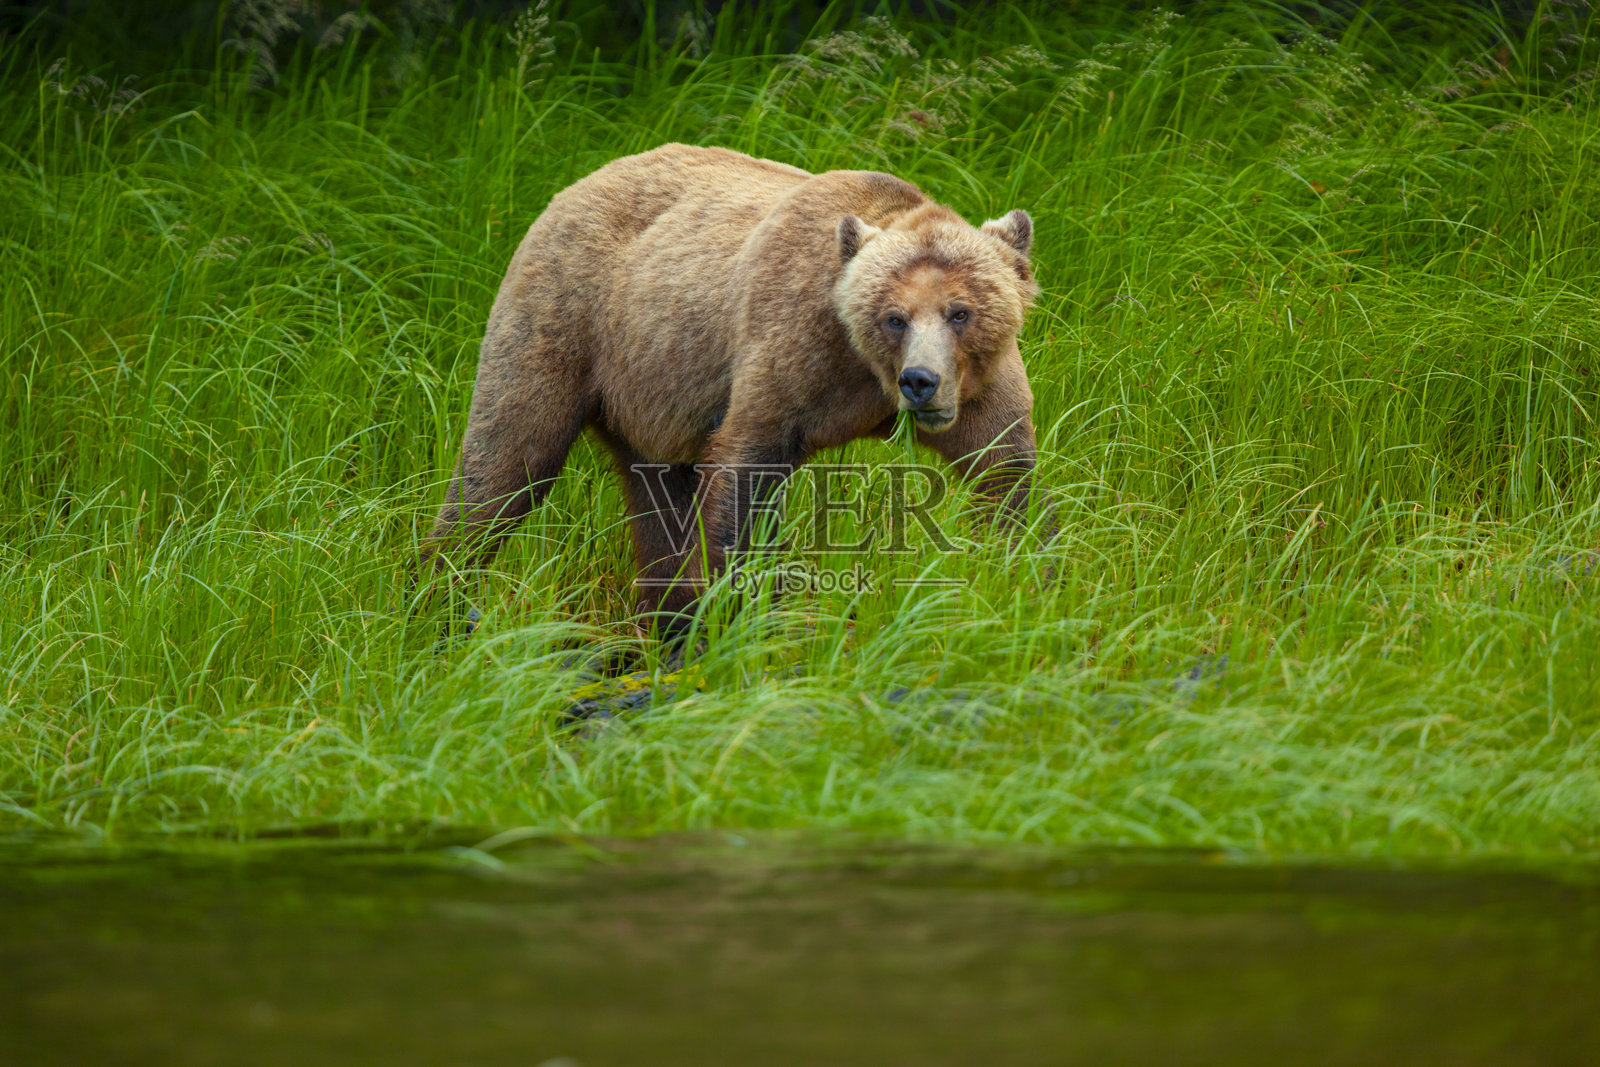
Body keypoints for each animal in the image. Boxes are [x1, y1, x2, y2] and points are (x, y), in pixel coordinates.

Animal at [423, 143, 1040, 629]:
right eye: (894, 317)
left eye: (960, 312)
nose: (920, 382)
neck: (864, 376)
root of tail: (575, 185)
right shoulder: (788, 347)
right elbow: (748, 469)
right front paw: (739, 611)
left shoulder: (980, 388)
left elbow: (1005, 472)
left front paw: (1030, 580)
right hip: (566, 319)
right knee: (508, 458)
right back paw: (437, 592)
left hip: (649, 391)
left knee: (657, 501)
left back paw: (667, 617)